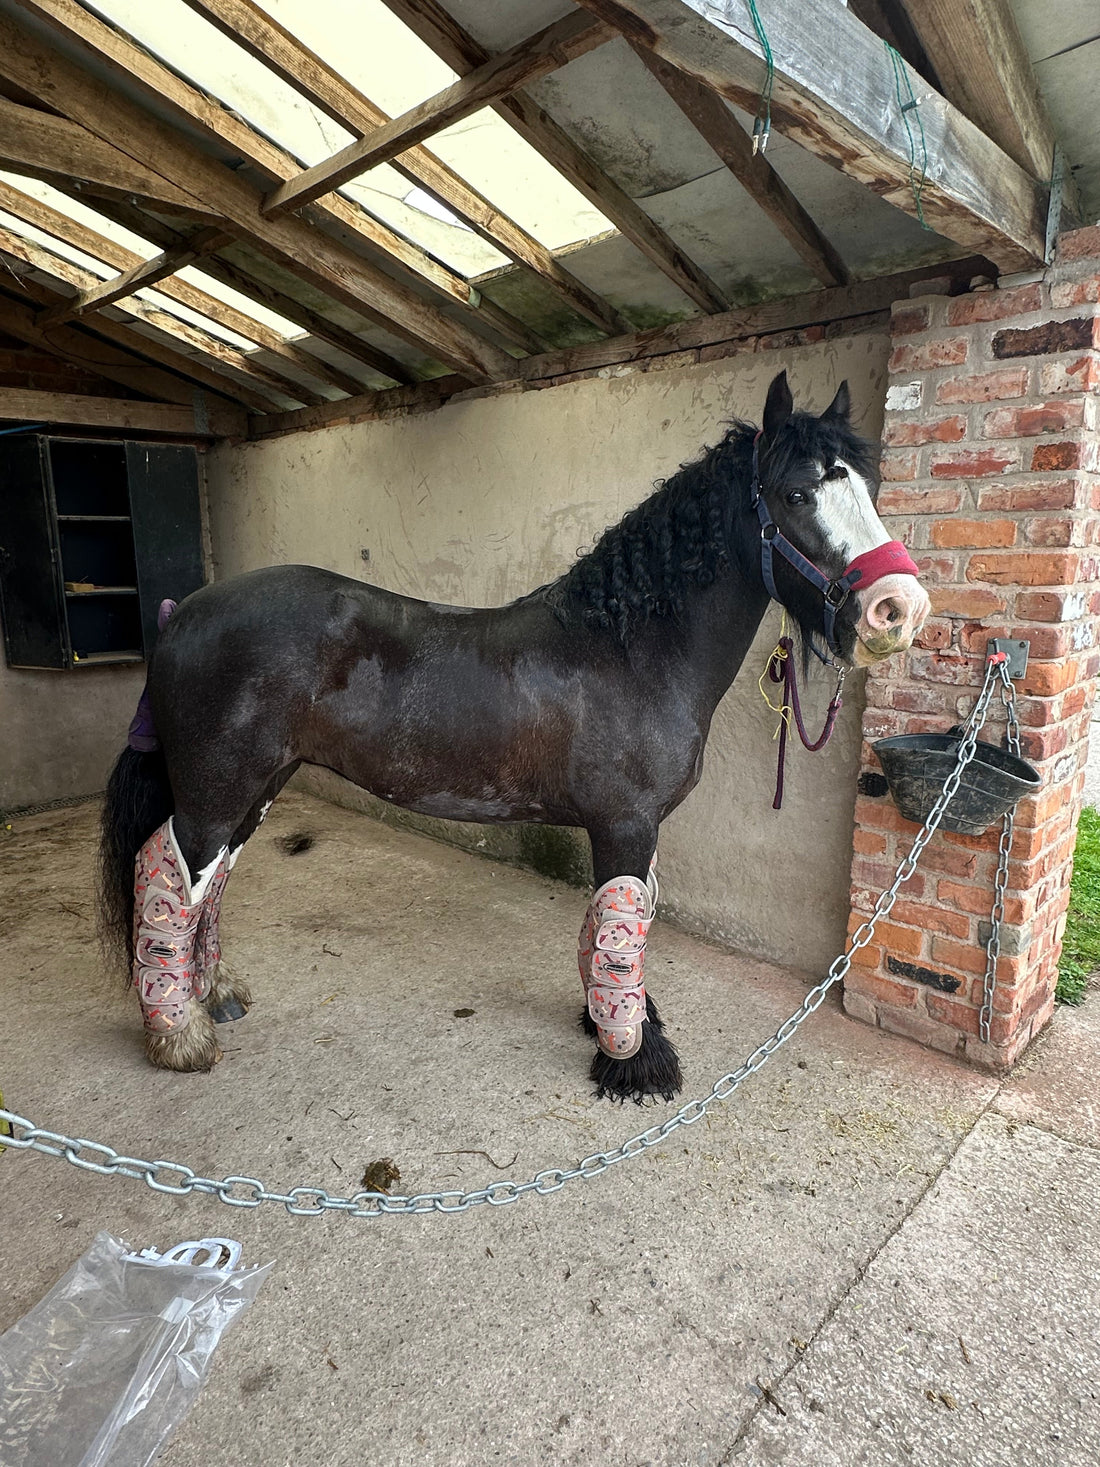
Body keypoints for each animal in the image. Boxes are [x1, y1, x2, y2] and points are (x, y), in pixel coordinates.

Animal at [98, 370, 929, 1102]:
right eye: (797, 494)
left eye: (866, 488)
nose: (899, 608)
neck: (628, 649)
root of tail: (182, 614)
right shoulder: (625, 823)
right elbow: (625, 928)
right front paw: (634, 1059)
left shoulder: (629, 827)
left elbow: (613, 921)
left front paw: (611, 1021)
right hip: (215, 789)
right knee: (166, 876)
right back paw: (180, 1034)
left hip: (258, 787)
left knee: (209, 886)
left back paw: (214, 995)